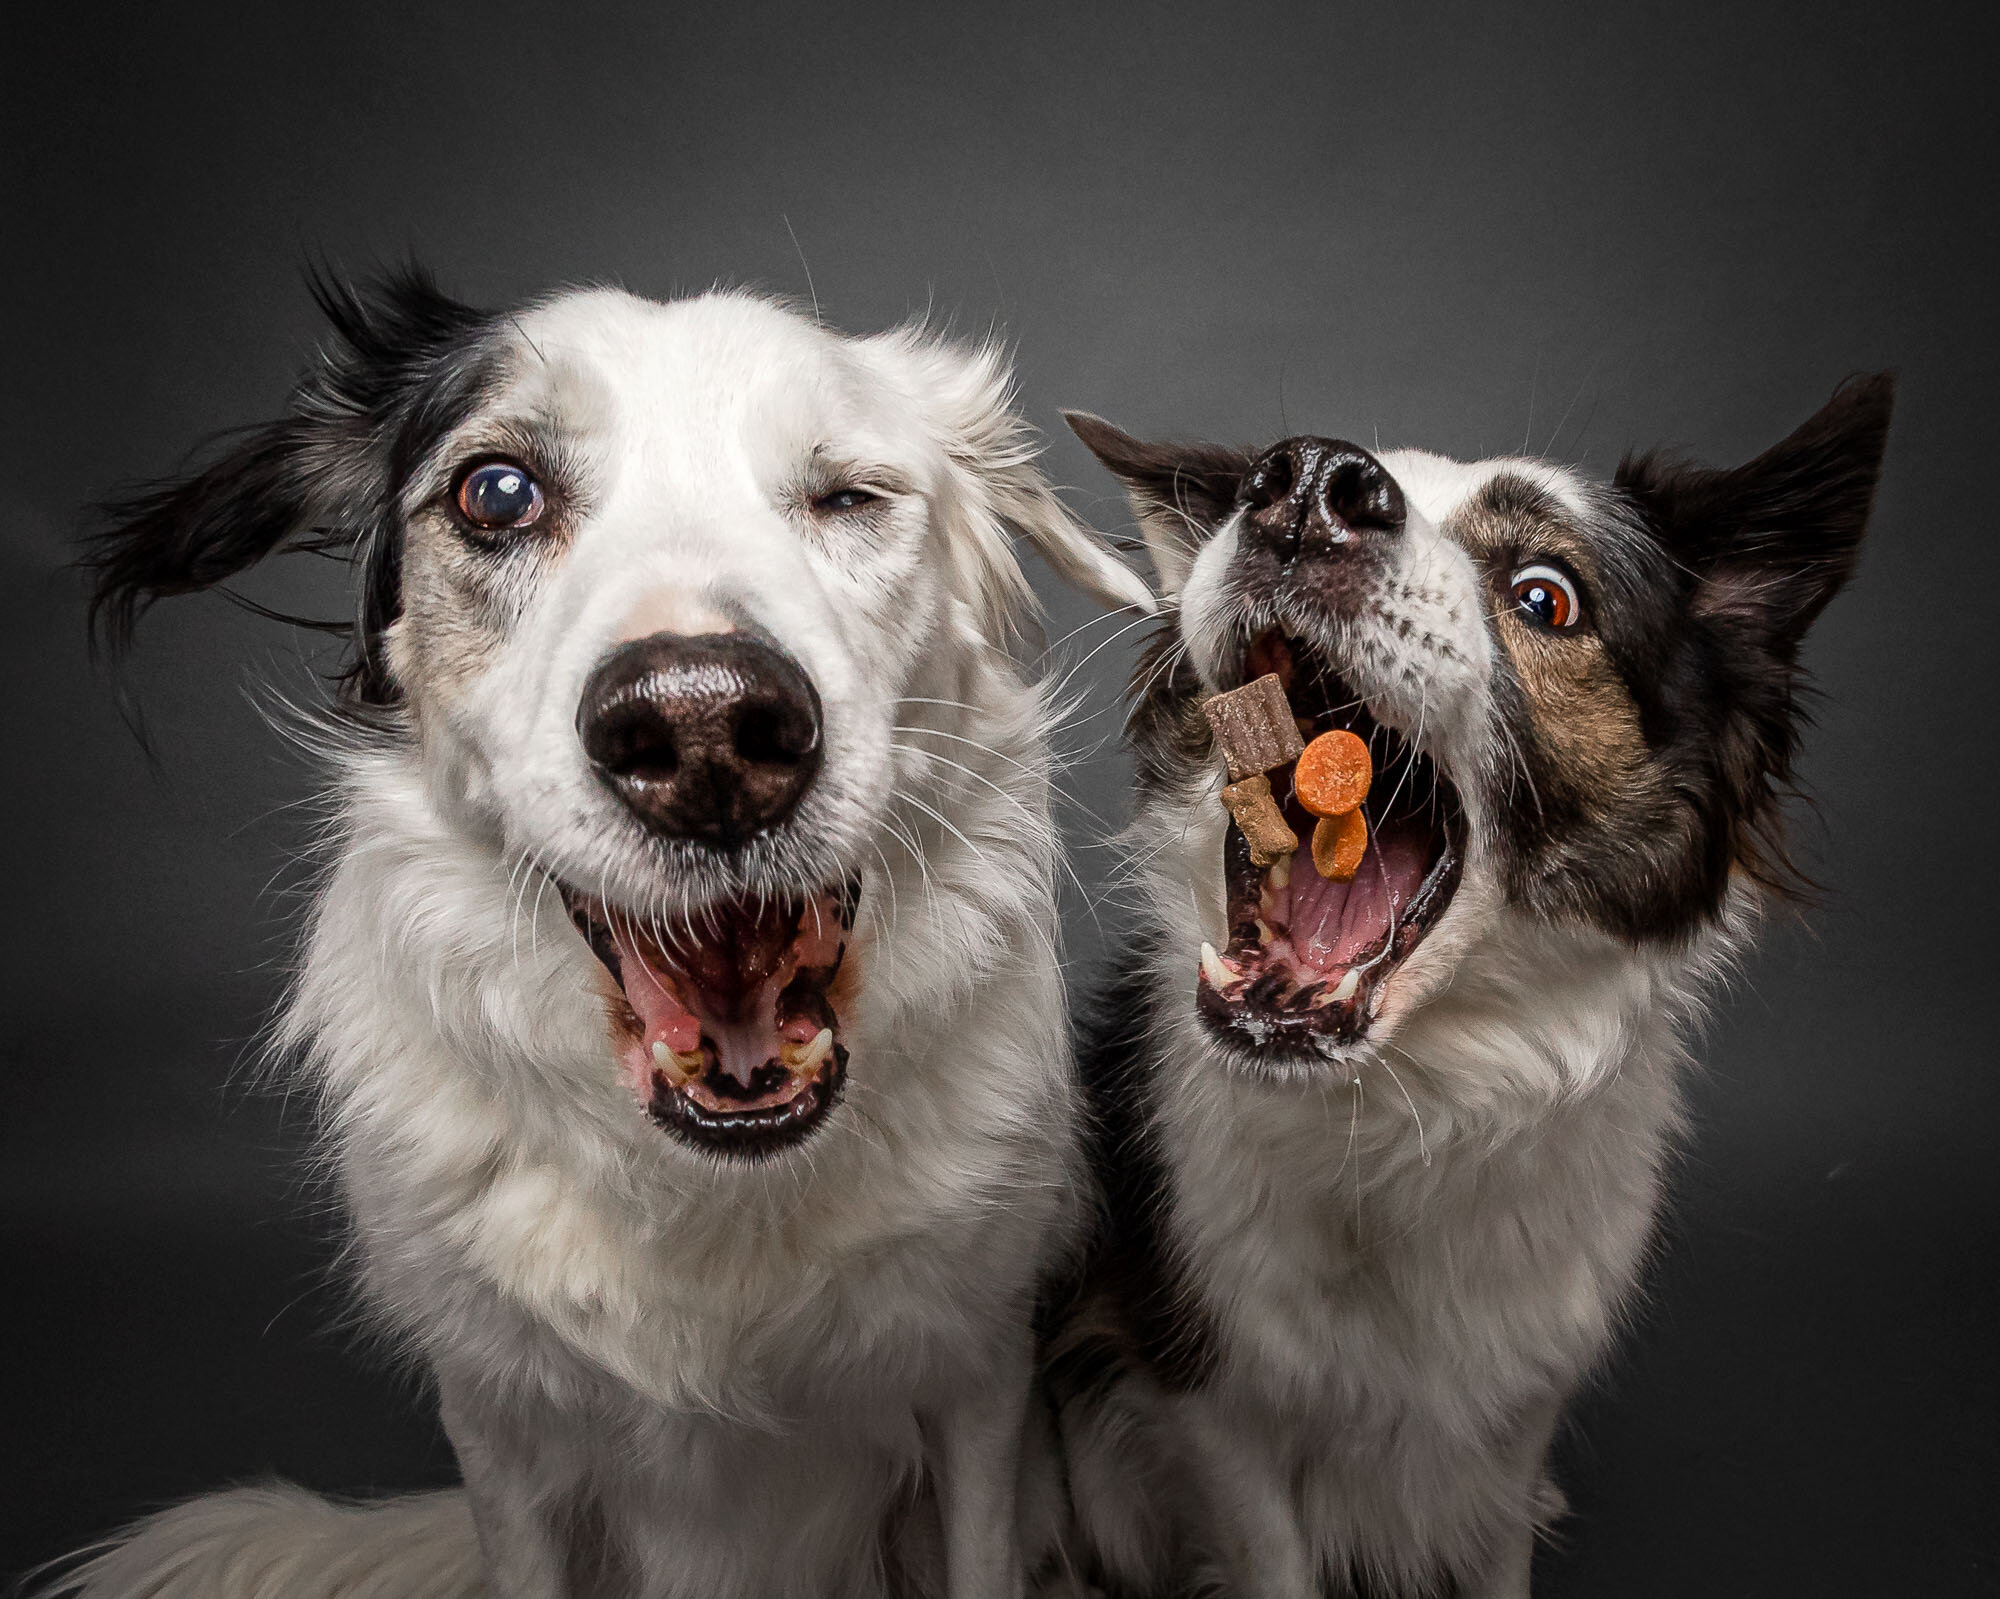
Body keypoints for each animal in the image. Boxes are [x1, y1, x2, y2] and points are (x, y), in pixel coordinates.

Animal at [47, 271, 1152, 1599]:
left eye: (847, 496)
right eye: (497, 493)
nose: (705, 732)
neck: (713, 1191)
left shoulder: (979, 1385)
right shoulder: (499, 1424)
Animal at [1048, 377, 1888, 1599]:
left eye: (1546, 597)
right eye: (1264, 481)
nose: (1306, 485)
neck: (1411, 1108)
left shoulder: (1516, 1394)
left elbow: (1492, 1541)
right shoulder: (1215, 1401)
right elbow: (1266, 1547)